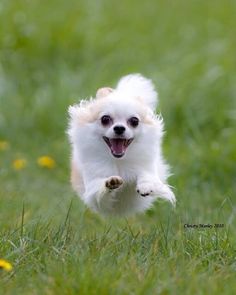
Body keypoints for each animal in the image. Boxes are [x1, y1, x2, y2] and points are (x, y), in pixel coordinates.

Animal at [68, 74, 175, 217]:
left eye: (134, 121)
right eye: (105, 119)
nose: (119, 128)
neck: (119, 161)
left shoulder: (147, 168)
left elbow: (147, 176)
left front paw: (146, 186)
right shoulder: (93, 191)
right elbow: (99, 189)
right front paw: (109, 183)